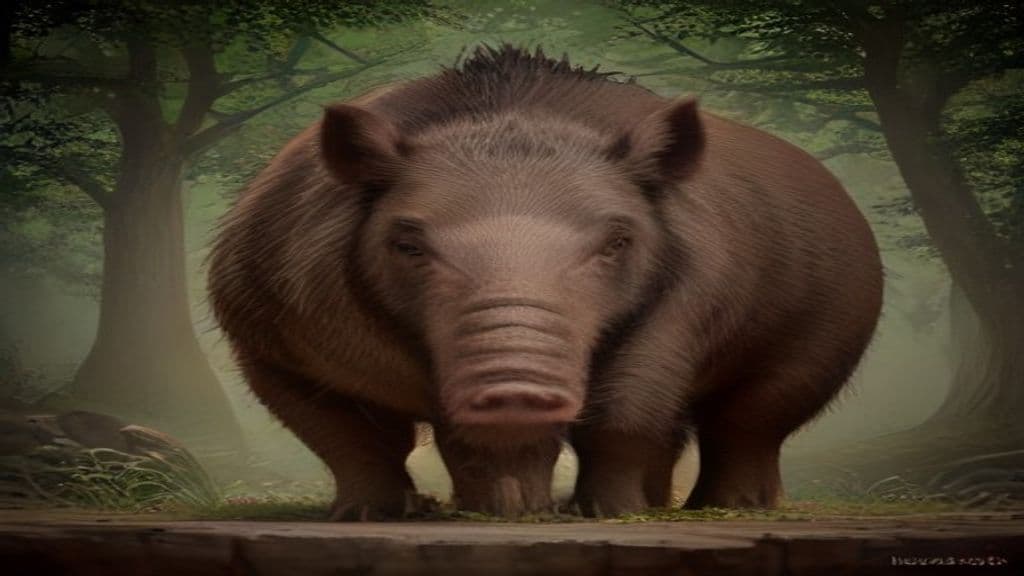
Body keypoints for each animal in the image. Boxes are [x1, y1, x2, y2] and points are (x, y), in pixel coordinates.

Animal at [207, 45, 883, 519]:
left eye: (618, 242)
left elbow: (627, 406)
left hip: (835, 309)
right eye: (407, 244)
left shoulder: (686, 306)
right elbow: (349, 434)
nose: (516, 387)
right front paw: (374, 515)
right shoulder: (282, 339)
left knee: (752, 414)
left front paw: (606, 515)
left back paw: (722, 508)